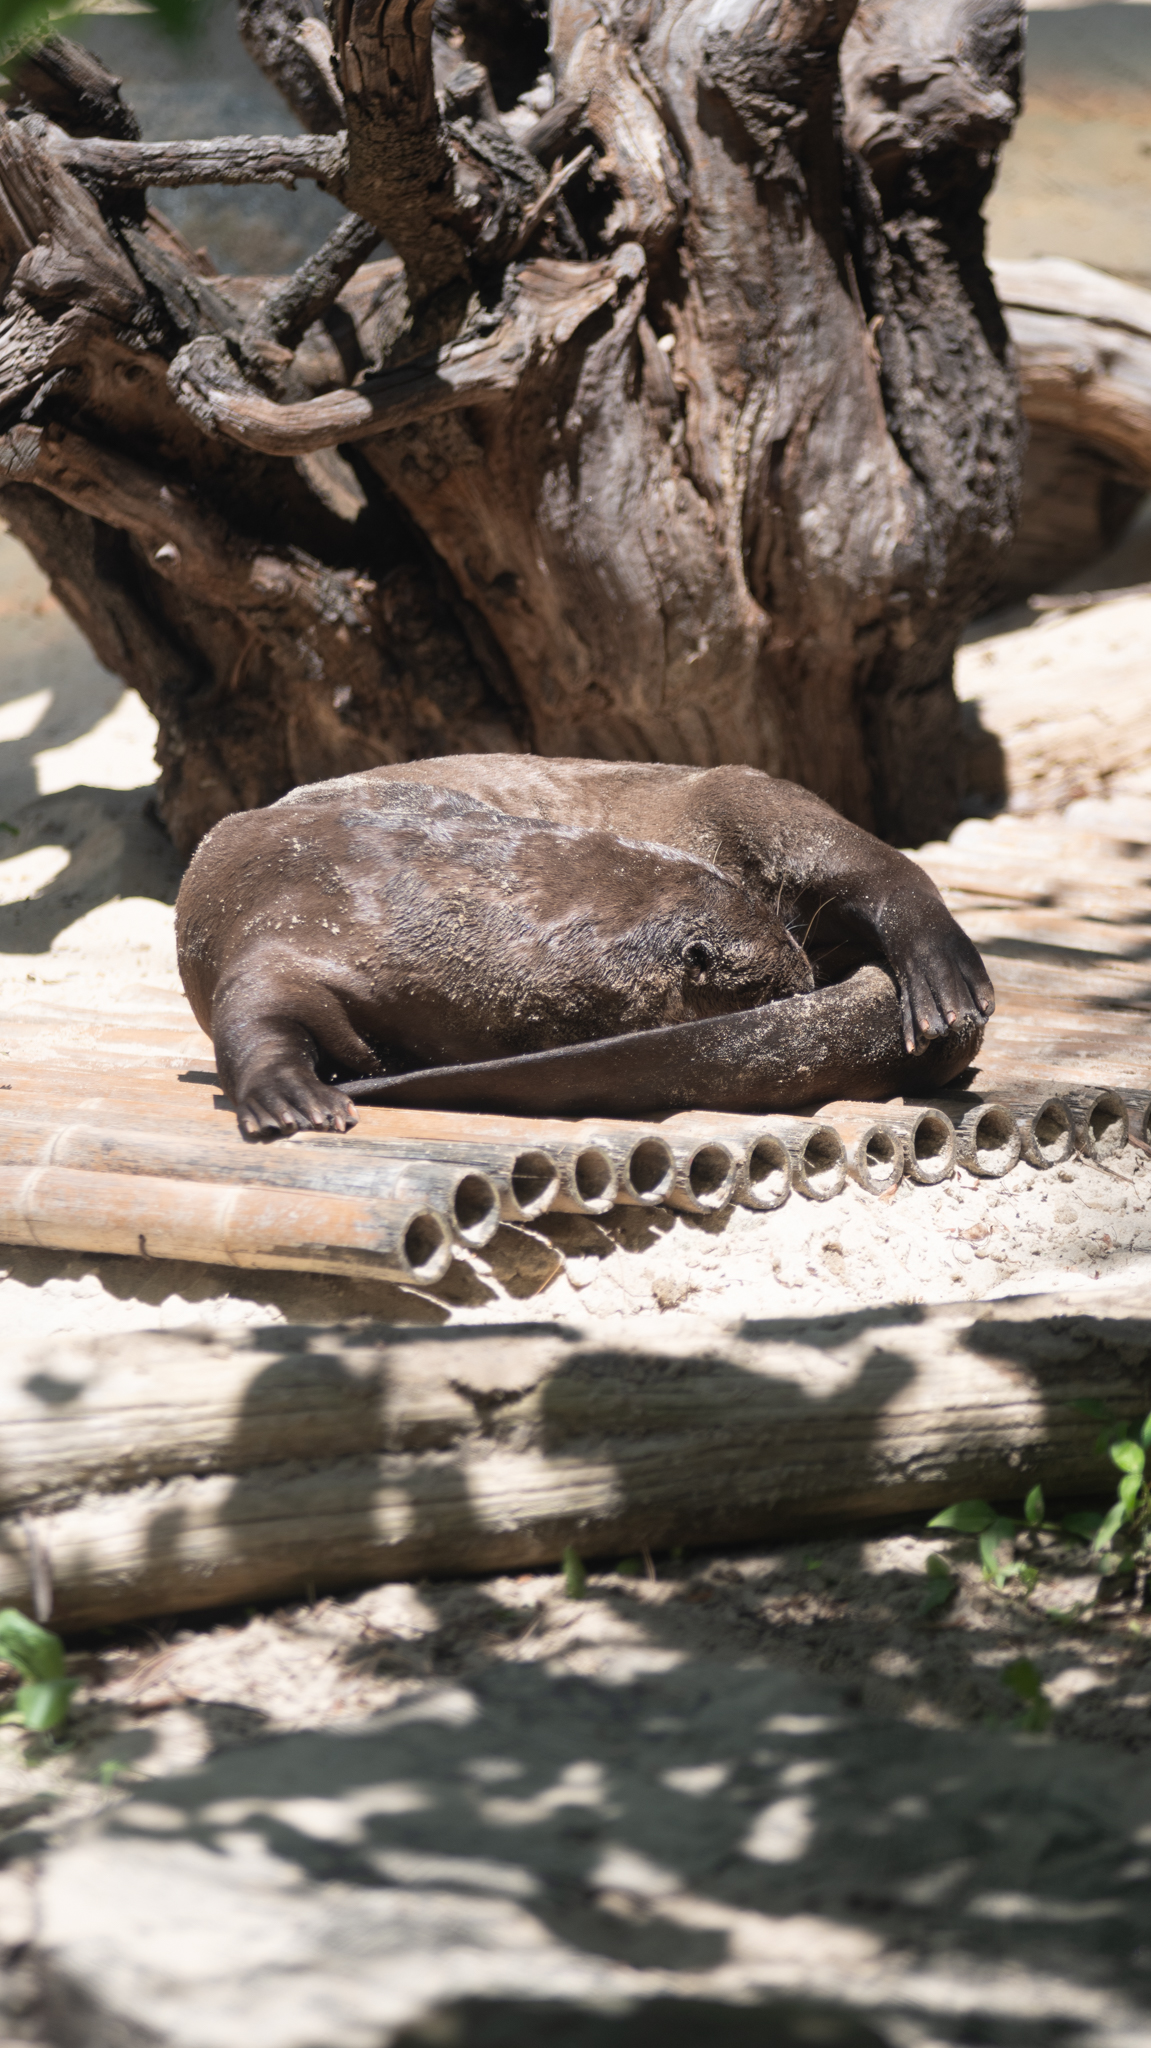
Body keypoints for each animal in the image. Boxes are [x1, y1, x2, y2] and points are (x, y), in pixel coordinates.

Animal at [177, 779, 815, 1137]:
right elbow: (253, 1009)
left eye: (789, 930)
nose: (808, 977)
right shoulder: (294, 925)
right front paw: (294, 1100)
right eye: (772, 977)